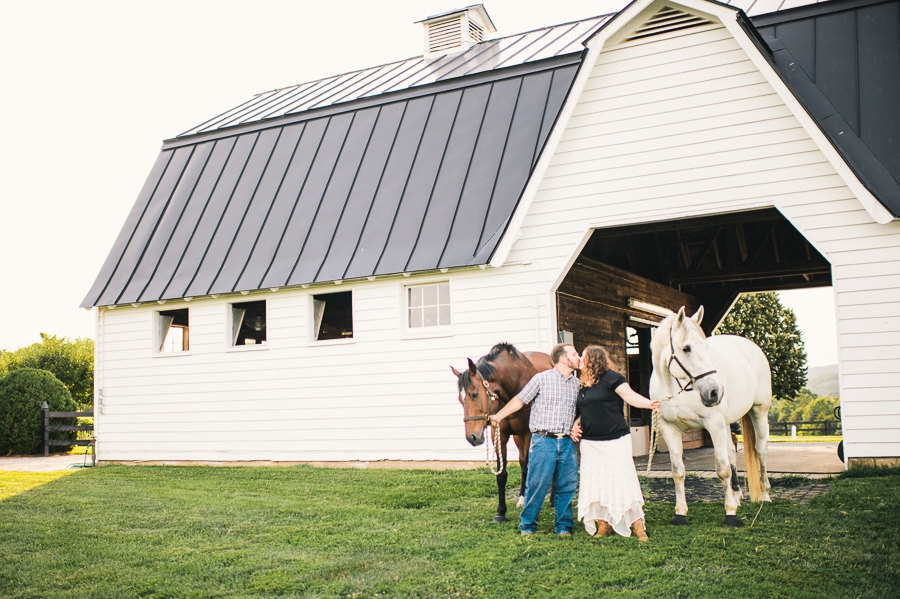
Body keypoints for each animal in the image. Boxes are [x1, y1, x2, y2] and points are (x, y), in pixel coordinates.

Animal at [454, 344, 552, 524]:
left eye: (474, 394)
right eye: (460, 399)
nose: (472, 437)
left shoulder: (528, 433)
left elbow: (528, 466)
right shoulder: (499, 434)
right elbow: (501, 474)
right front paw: (501, 512)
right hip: (517, 438)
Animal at [652, 308, 768, 528]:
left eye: (706, 346)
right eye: (686, 348)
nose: (715, 392)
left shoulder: (714, 425)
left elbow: (723, 469)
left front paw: (730, 514)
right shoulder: (670, 429)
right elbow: (678, 471)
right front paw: (680, 514)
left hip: (759, 411)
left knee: (761, 451)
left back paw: (765, 495)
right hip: (728, 423)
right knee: (732, 454)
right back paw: (737, 496)